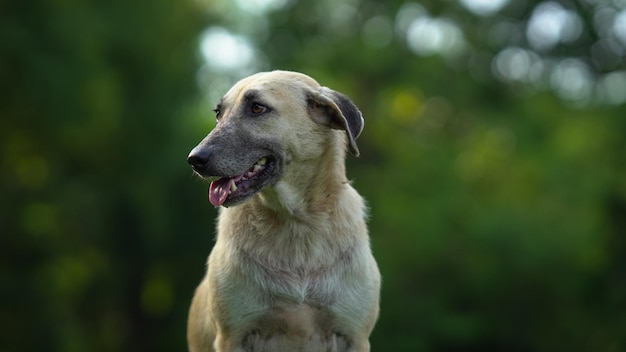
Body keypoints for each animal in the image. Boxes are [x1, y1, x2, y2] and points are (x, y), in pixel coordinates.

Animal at [185, 70, 380, 350]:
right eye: (218, 113)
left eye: (257, 108)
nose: (194, 159)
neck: (296, 223)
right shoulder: (232, 336)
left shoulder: (354, 336)